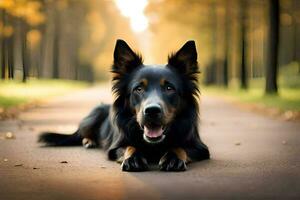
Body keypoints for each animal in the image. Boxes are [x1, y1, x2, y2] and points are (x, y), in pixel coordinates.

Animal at [38, 39, 210, 172]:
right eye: (138, 88)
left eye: (169, 88)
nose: (152, 111)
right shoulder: (115, 147)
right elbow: (129, 146)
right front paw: (134, 158)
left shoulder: (201, 148)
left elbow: (180, 147)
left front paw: (173, 157)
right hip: (95, 114)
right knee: (82, 133)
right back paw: (89, 141)